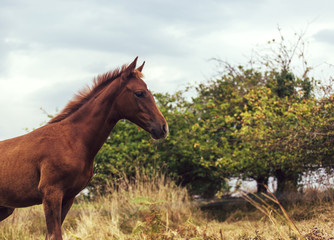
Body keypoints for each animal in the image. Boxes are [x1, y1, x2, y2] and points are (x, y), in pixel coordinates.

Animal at [0, 57, 168, 239]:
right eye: (139, 93)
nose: (163, 127)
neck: (72, 139)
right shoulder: (51, 194)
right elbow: (54, 234)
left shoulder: (69, 197)